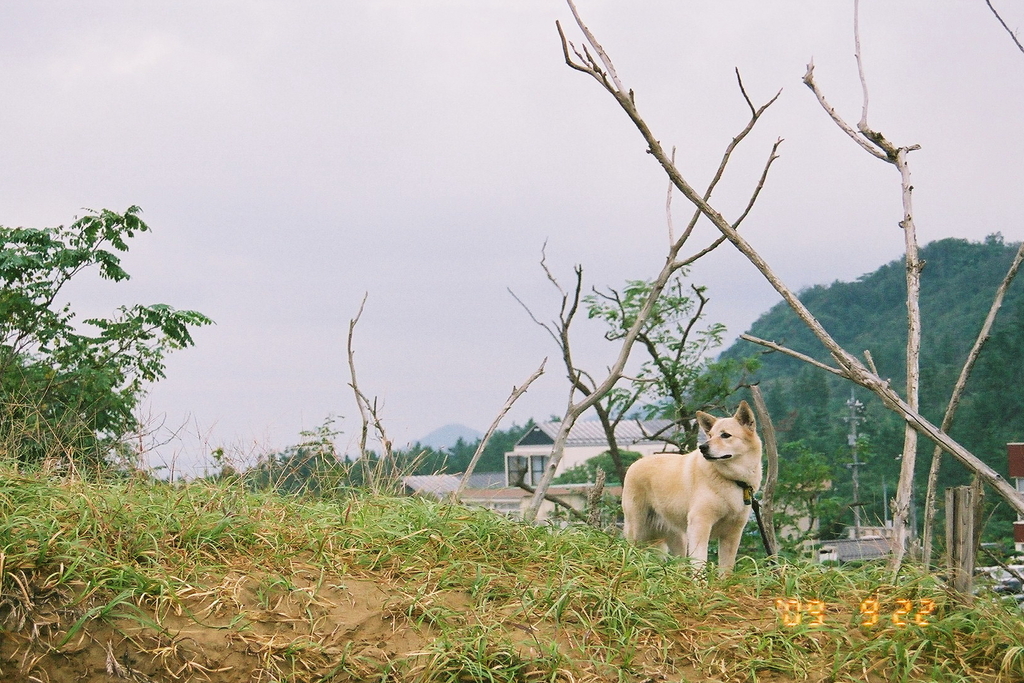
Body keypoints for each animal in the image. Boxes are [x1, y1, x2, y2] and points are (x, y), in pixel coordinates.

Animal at [618, 401, 765, 573]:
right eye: (710, 435)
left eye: (725, 435)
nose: (703, 447)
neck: (732, 480)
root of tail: (635, 464)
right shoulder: (700, 524)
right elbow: (699, 562)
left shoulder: (733, 533)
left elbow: (726, 569)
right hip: (636, 530)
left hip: (677, 538)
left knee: (679, 563)